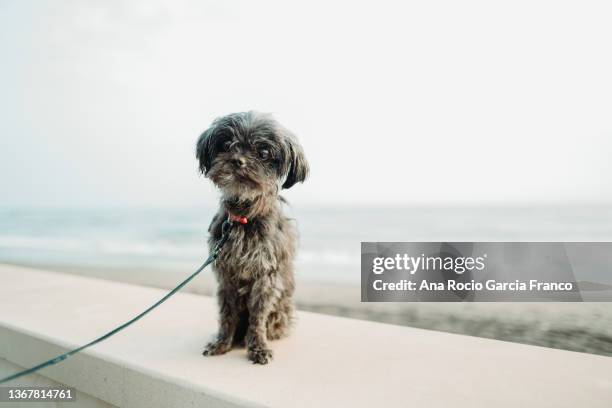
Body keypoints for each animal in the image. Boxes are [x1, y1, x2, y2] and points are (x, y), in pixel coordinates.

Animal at [196, 111, 308, 364]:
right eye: (226, 144)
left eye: (264, 153)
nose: (238, 160)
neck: (244, 216)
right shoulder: (226, 277)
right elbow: (226, 314)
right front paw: (222, 343)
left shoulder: (265, 277)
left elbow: (258, 318)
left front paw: (257, 347)